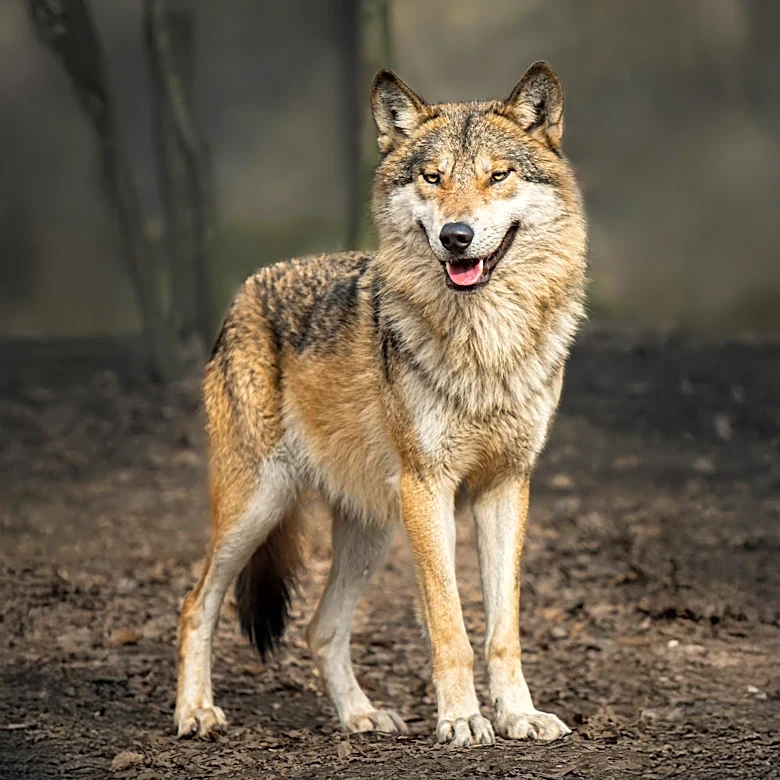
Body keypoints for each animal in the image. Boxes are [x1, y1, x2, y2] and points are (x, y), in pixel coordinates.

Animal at [174, 62, 587, 747]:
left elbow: (502, 631)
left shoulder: (506, 485)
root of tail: (247, 289)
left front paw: (519, 716)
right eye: (433, 177)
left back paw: (359, 716)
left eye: (498, 175)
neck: (485, 345)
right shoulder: (429, 486)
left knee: (319, 628)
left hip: (372, 527)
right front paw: (462, 720)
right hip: (259, 504)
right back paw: (195, 712)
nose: (456, 236)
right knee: (195, 603)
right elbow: (450, 627)